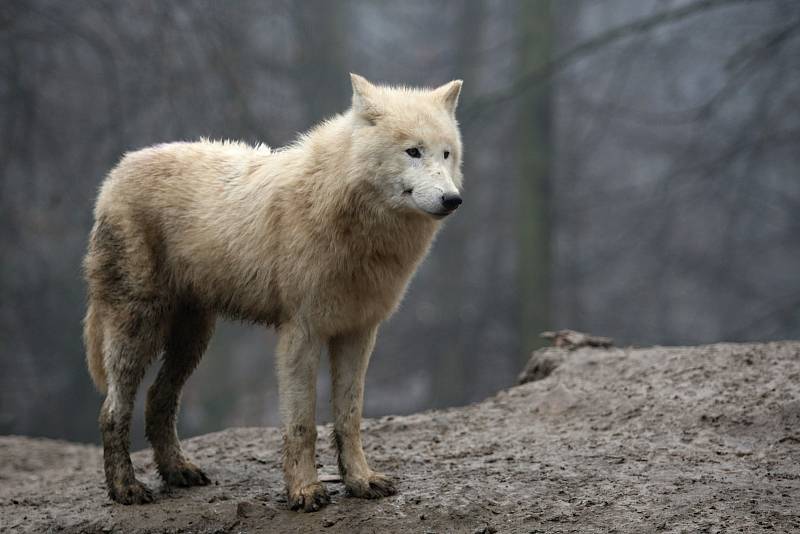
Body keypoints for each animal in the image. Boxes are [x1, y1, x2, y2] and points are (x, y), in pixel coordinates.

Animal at [83, 73, 462, 512]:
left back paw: (178, 472)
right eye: (413, 152)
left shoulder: (358, 332)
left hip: (193, 337)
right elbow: (301, 424)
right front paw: (305, 491)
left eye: (447, 154)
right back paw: (125, 488)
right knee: (112, 410)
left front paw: (360, 481)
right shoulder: (300, 334)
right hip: (139, 329)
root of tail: (116, 173)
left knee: (158, 398)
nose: (453, 199)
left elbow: (349, 417)